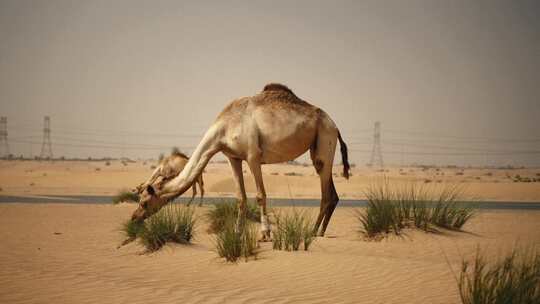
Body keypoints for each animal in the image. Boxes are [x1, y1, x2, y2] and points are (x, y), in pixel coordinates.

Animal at [132, 83, 350, 240]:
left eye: (144, 202)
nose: (134, 217)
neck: (224, 128)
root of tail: (335, 126)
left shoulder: (253, 156)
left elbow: (260, 195)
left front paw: (265, 234)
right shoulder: (233, 157)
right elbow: (240, 197)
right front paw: (237, 232)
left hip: (325, 138)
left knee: (326, 192)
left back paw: (313, 232)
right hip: (319, 145)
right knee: (332, 194)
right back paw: (320, 231)